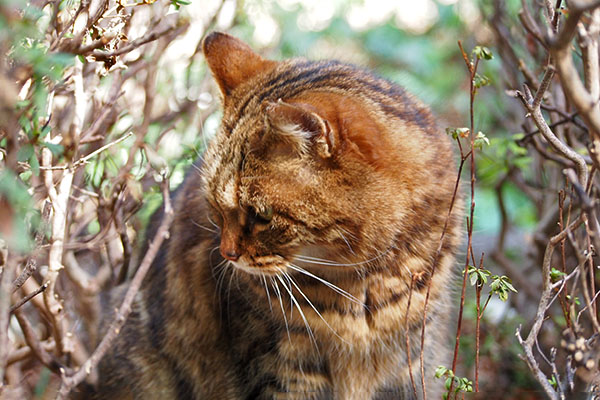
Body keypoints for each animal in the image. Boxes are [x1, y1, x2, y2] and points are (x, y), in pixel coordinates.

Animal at [90, 32, 464, 400]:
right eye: (215, 208)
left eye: (261, 214)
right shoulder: (282, 368)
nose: (227, 254)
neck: (367, 286)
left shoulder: (408, 364)